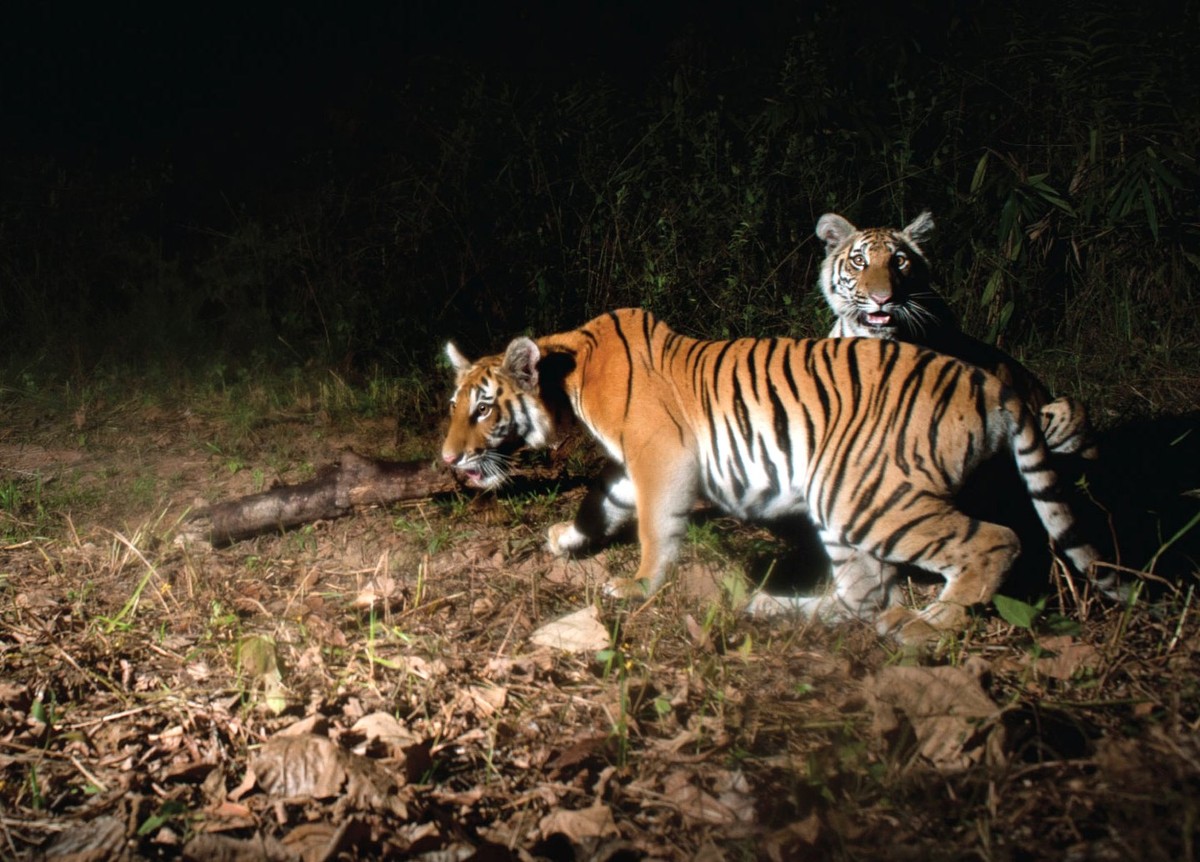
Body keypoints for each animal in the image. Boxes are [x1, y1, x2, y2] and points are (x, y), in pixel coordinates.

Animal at [441, 308, 1123, 643]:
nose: (446, 460)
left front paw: (638, 586)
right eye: (454, 404)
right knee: (862, 593)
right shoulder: (633, 466)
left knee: (993, 541)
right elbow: (600, 501)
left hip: (865, 495)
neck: (569, 375)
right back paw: (766, 606)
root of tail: (993, 383)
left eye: (483, 408)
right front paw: (568, 539)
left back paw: (926, 628)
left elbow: (656, 528)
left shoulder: (661, 454)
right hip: (842, 501)